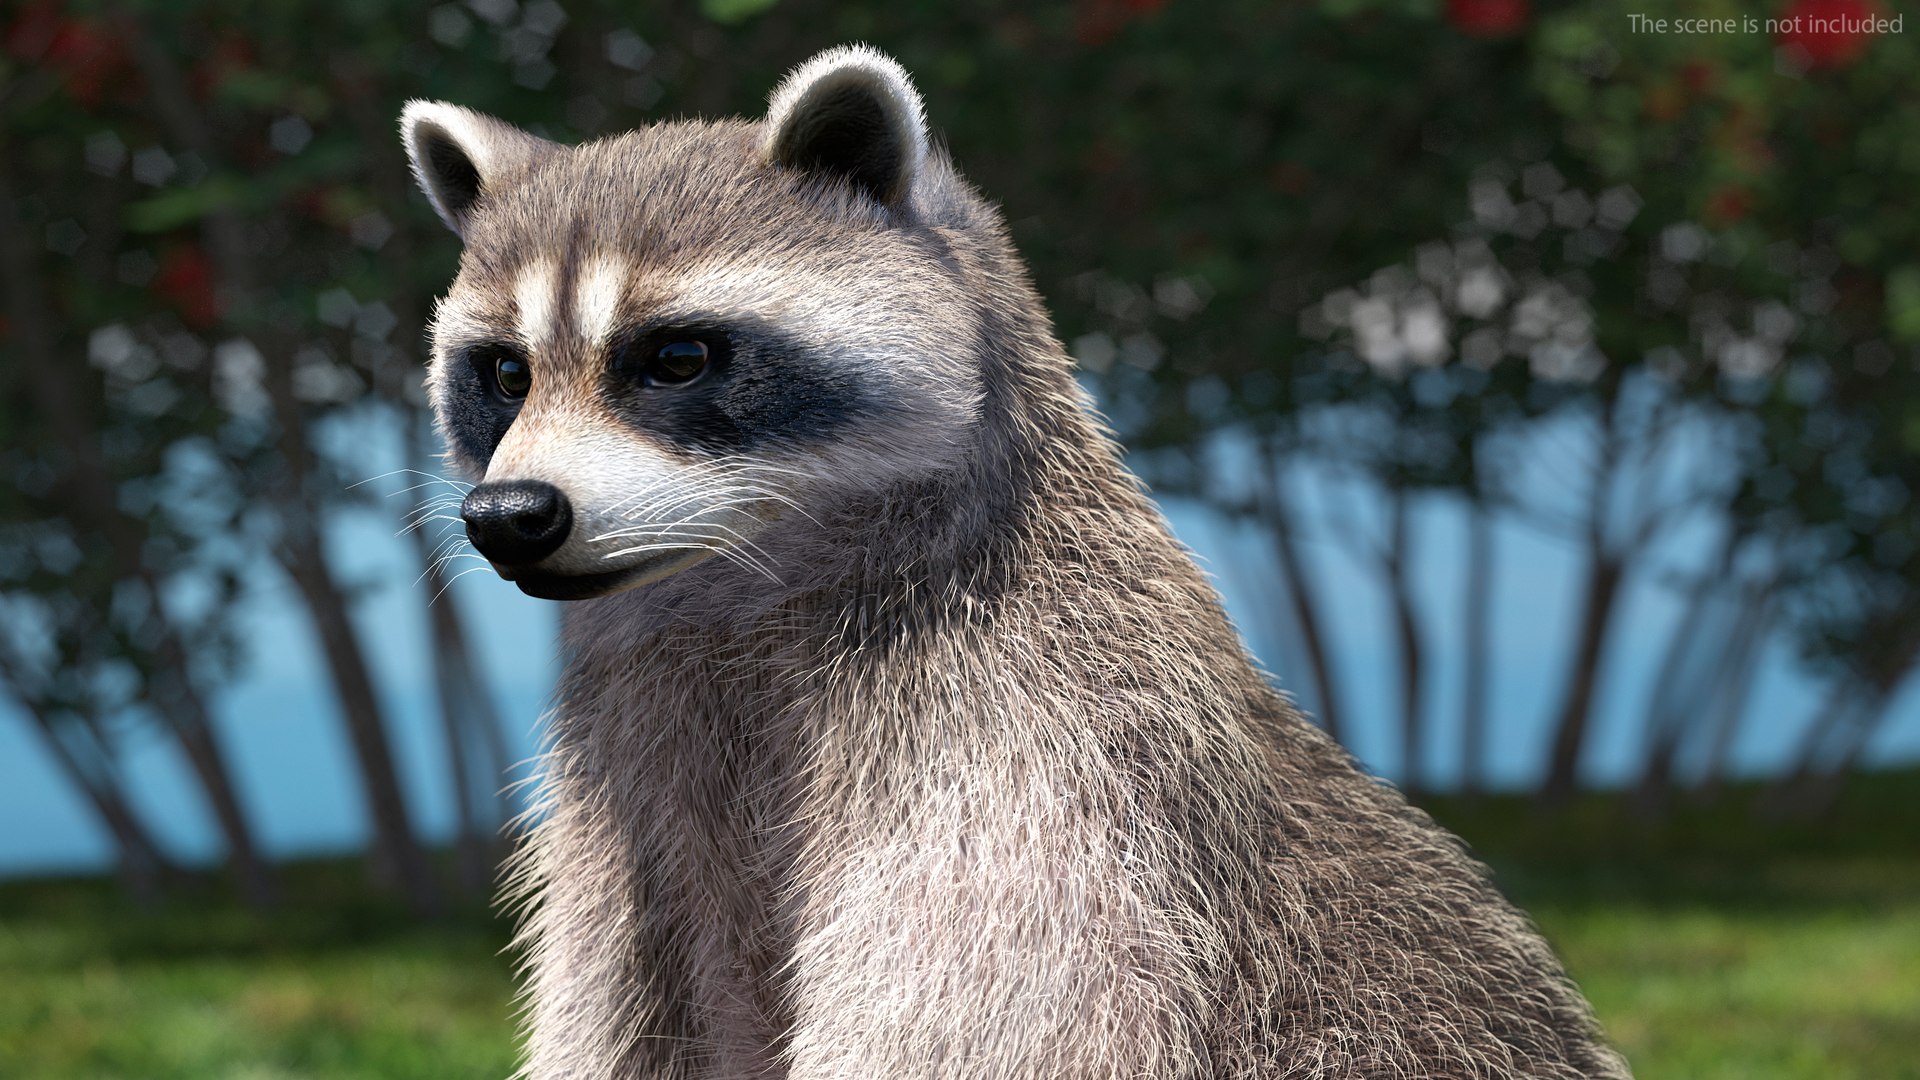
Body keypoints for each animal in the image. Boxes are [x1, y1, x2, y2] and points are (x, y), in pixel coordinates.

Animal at [402, 44, 1630, 1080]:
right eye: (504, 373)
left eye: (675, 358)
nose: (510, 514)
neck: (731, 585)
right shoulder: (622, 788)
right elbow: (608, 1018)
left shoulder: (1040, 756)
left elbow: (988, 1013)